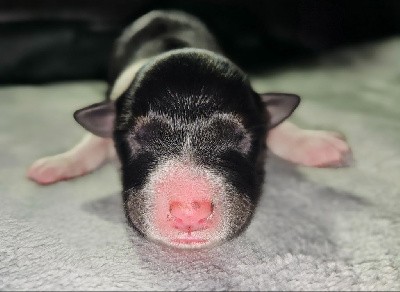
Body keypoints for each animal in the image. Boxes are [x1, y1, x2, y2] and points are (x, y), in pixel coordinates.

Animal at [28, 11, 352, 249]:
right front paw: (58, 162)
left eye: (240, 139)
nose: (189, 212)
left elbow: (276, 122)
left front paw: (315, 142)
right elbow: (93, 140)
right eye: (139, 139)